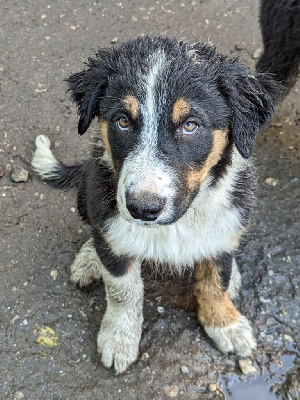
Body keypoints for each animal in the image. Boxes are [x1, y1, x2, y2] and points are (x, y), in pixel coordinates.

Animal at [32, 36, 282, 374]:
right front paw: (119, 338)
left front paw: (224, 323)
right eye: (122, 121)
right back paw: (89, 258)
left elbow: (214, 281)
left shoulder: (227, 219)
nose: (142, 209)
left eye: (190, 125)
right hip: (89, 190)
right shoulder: (110, 219)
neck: (180, 222)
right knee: (96, 232)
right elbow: (123, 291)